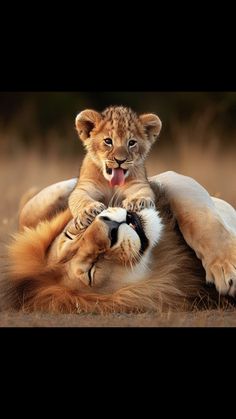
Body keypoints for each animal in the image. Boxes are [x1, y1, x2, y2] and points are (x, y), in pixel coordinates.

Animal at [5, 172, 236, 314]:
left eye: (72, 235)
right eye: (91, 269)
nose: (110, 225)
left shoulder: (168, 179)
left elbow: (198, 216)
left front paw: (225, 267)